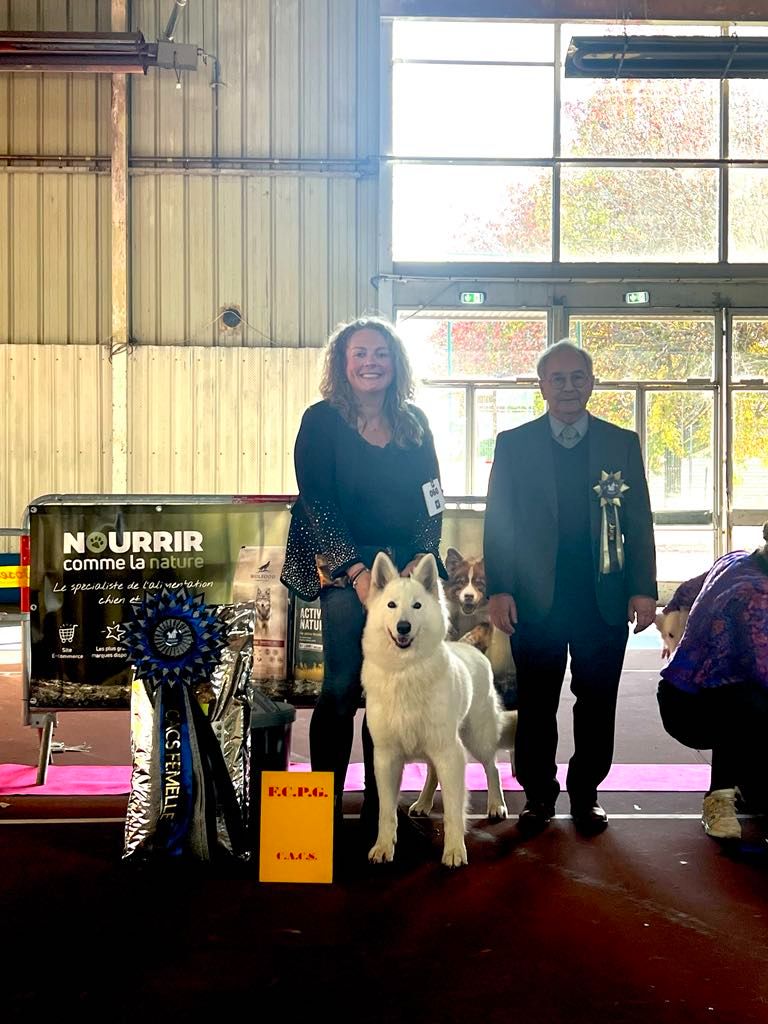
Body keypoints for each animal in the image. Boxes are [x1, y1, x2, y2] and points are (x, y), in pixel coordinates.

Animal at [362, 552, 520, 864]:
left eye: (417, 606)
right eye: (391, 605)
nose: (403, 627)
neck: (406, 671)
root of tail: (471, 649)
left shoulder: (450, 752)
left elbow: (453, 810)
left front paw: (455, 850)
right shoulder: (386, 757)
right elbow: (386, 811)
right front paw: (383, 846)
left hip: (476, 738)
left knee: (492, 768)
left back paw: (496, 805)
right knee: (433, 773)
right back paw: (423, 802)